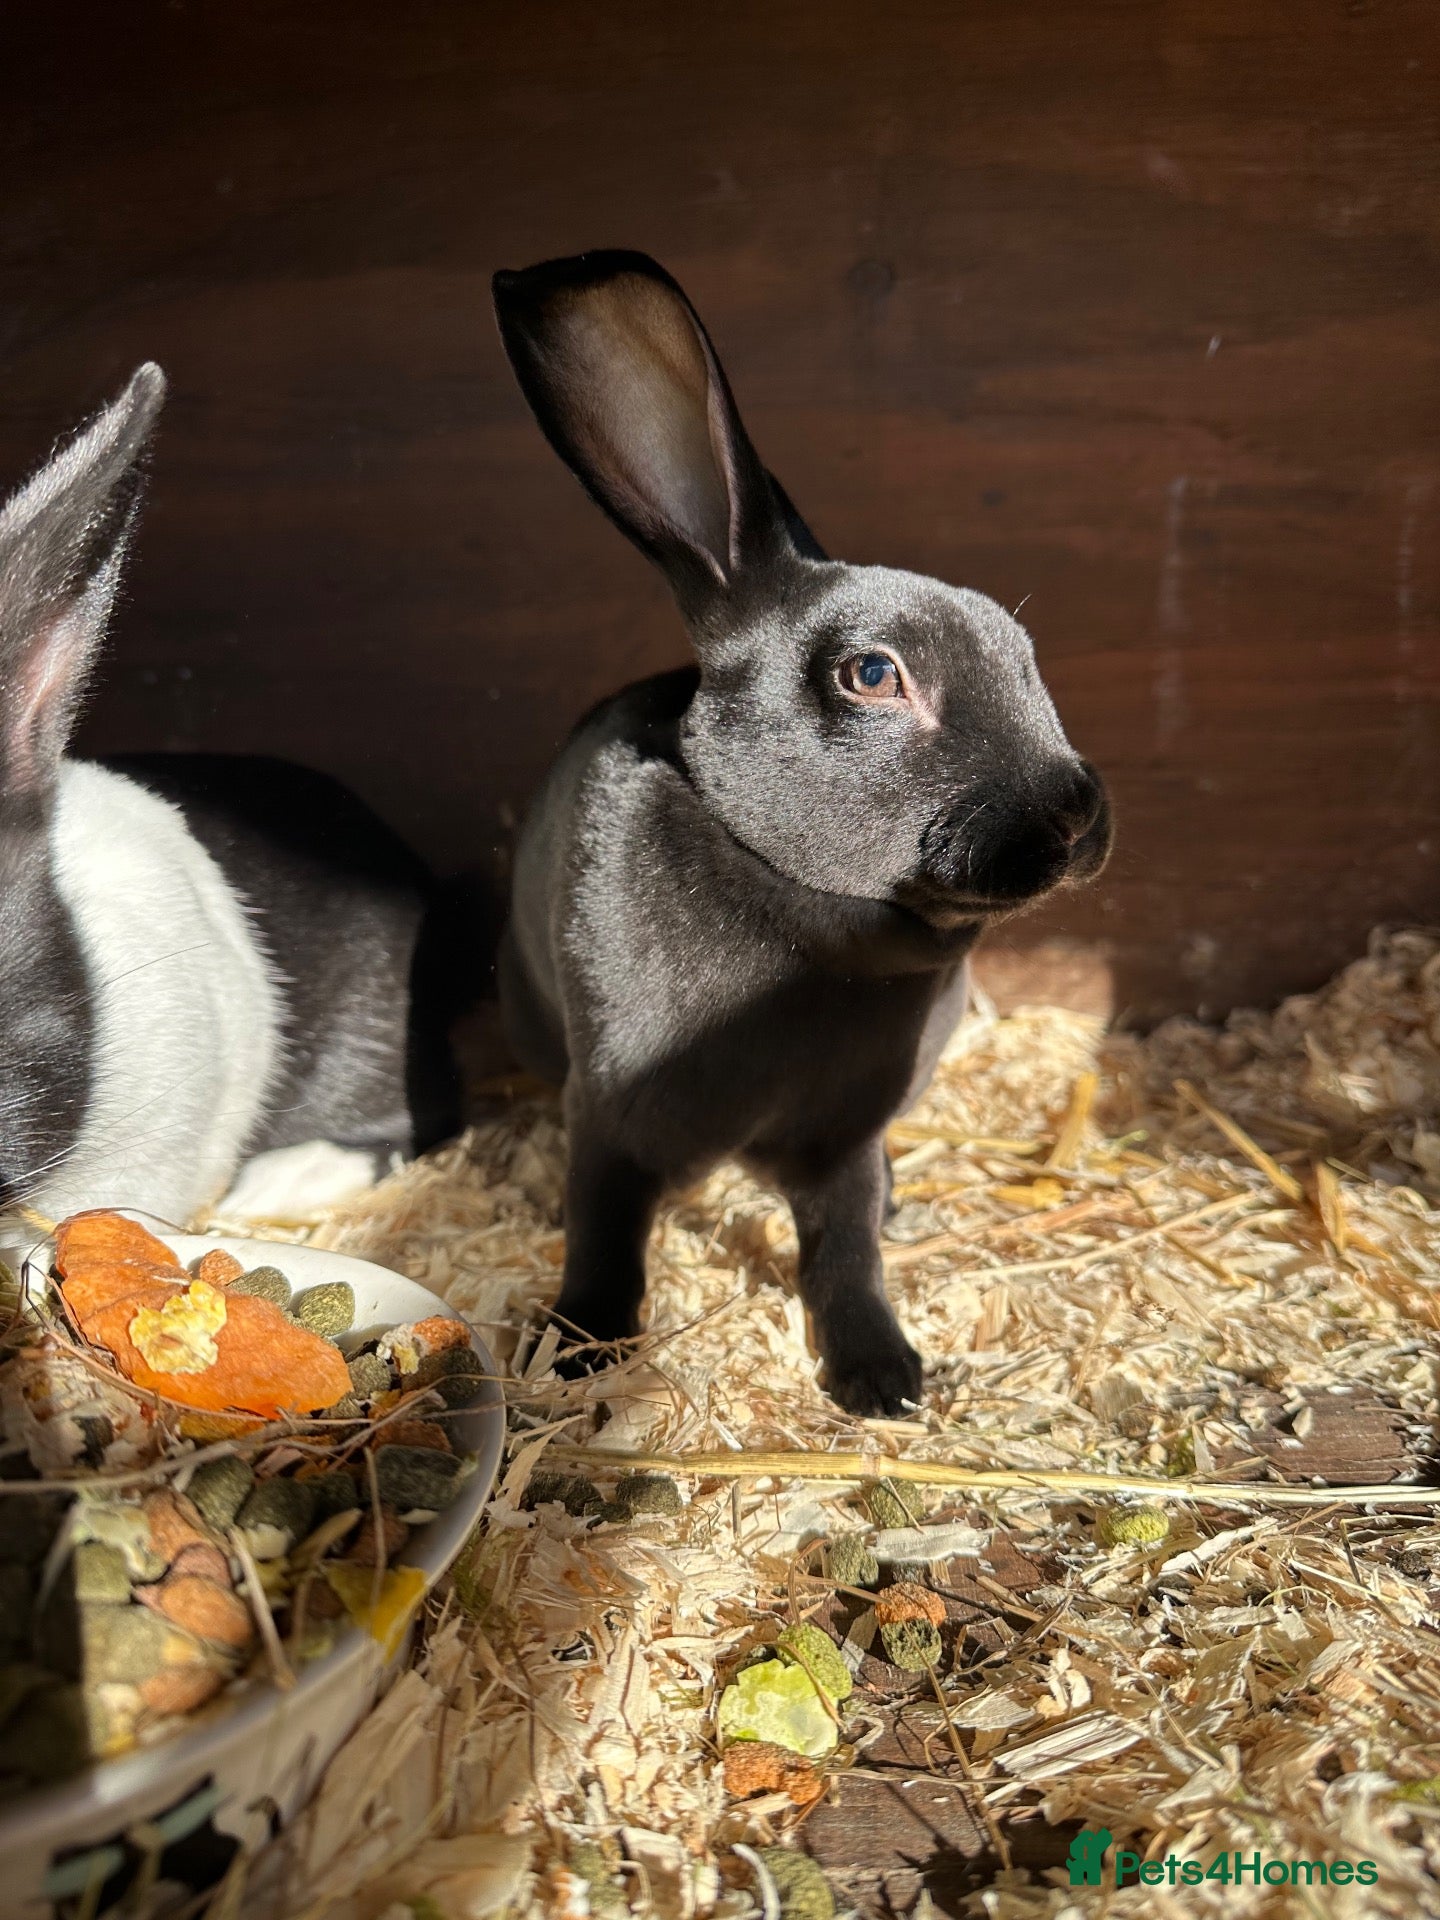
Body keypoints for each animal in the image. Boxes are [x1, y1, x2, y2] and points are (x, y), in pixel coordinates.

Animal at [492, 250, 1111, 1417]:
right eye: (871, 673)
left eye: (1026, 657)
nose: (1079, 813)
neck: (805, 911)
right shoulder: (609, 1116)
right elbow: (604, 1236)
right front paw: (579, 1352)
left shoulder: (841, 1139)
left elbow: (845, 1246)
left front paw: (882, 1377)